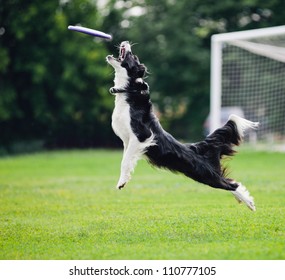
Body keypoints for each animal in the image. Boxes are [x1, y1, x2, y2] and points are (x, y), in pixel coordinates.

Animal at [106, 41, 258, 211]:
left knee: (231, 184)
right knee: (230, 182)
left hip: (205, 174)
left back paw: (249, 203)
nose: (125, 42)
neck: (129, 90)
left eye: (133, 56)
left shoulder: (142, 136)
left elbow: (125, 161)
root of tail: (197, 147)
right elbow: (127, 159)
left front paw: (121, 183)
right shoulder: (128, 142)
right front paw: (124, 179)